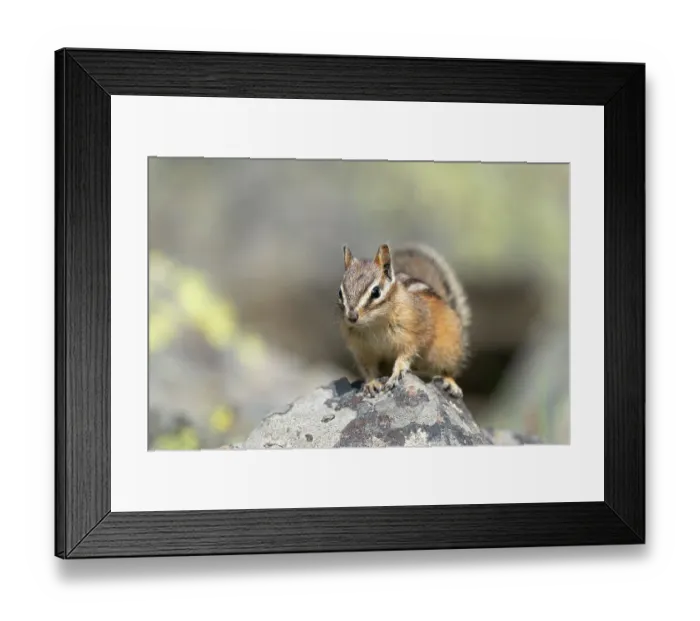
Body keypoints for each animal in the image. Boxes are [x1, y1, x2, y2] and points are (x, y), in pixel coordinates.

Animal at [337, 242, 471, 400]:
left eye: (376, 292)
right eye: (340, 293)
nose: (352, 317)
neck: (374, 324)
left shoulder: (413, 336)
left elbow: (405, 356)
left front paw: (396, 374)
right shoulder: (363, 351)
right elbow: (368, 368)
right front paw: (371, 383)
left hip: (447, 350)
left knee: (447, 370)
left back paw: (450, 383)